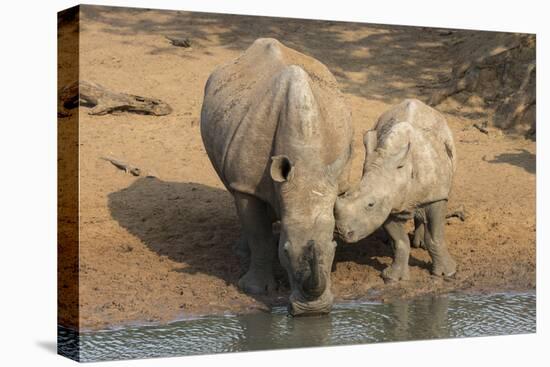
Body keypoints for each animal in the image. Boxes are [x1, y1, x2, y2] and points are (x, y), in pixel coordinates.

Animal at [202, 38, 354, 316]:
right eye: (285, 250)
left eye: (334, 248)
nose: (313, 312)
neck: (305, 163)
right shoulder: (247, 183)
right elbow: (258, 233)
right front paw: (255, 289)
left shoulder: (335, 180)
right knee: (236, 194)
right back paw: (241, 253)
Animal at [336, 98, 458, 282]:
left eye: (370, 204)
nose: (342, 232)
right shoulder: (388, 202)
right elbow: (400, 241)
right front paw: (393, 278)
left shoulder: (436, 196)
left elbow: (435, 237)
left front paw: (447, 273)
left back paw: (420, 244)